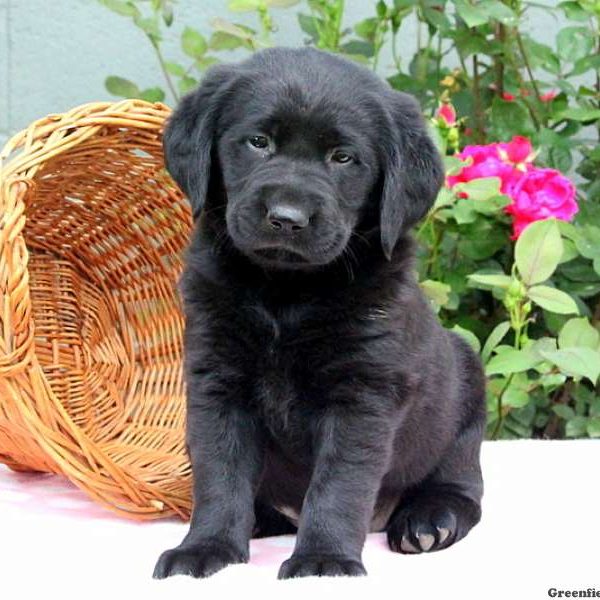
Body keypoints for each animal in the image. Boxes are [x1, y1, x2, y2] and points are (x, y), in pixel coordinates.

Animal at [152, 48, 486, 580]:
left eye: (343, 158)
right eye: (259, 142)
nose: (287, 218)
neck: (285, 292)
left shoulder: (362, 395)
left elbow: (338, 484)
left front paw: (323, 559)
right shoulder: (216, 381)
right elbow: (220, 474)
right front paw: (207, 547)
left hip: (466, 395)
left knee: (462, 488)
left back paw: (430, 520)